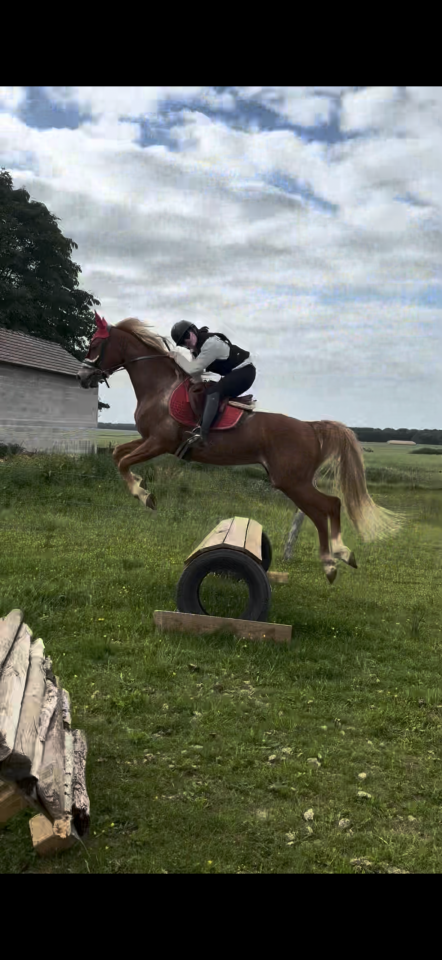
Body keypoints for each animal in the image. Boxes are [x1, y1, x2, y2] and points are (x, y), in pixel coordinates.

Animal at [77, 313, 402, 584]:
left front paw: (144, 496)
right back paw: (337, 556)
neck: (160, 389)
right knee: (325, 508)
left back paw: (333, 560)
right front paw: (141, 487)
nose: (82, 377)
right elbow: (118, 456)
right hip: (292, 481)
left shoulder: (160, 442)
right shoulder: (149, 440)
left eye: (94, 343)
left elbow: (123, 462)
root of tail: (310, 427)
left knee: (328, 506)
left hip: (291, 481)